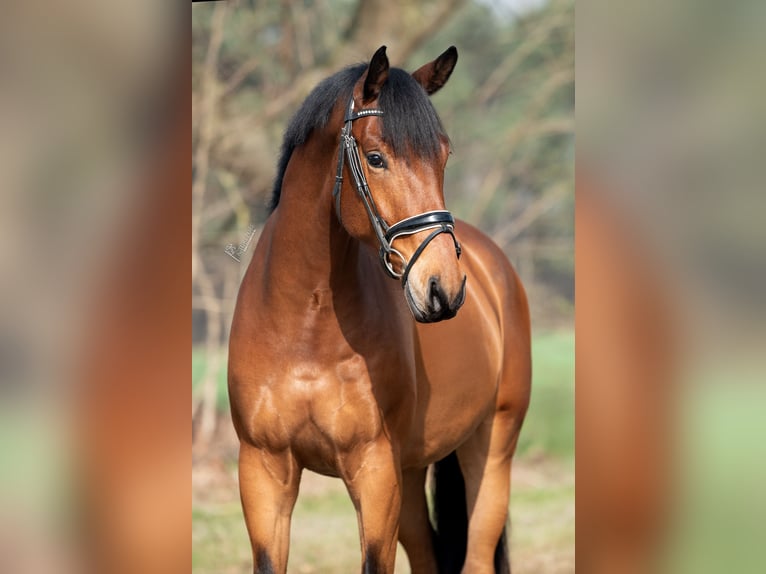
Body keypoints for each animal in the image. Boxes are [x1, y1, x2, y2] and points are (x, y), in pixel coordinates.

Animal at [228, 45, 531, 574]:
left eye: (443, 156)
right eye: (376, 158)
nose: (443, 289)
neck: (304, 327)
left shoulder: (374, 472)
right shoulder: (264, 471)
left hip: (491, 449)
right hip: (411, 473)